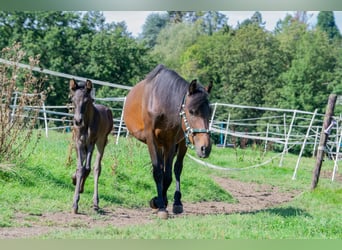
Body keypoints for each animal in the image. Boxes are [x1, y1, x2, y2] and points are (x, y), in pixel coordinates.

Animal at [69, 79, 113, 214]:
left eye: (86, 101)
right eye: (72, 99)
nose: (77, 121)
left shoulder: (91, 143)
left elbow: (87, 168)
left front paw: (78, 196)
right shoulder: (78, 142)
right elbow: (80, 168)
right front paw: (75, 203)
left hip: (102, 142)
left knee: (96, 168)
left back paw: (95, 202)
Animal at [123, 65, 214, 219]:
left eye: (210, 111)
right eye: (192, 111)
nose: (205, 148)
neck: (161, 101)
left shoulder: (170, 143)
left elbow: (168, 175)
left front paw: (160, 202)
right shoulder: (152, 141)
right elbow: (158, 172)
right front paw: (159, 204)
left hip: (181, 143)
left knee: (177, 168)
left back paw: (177, 202)